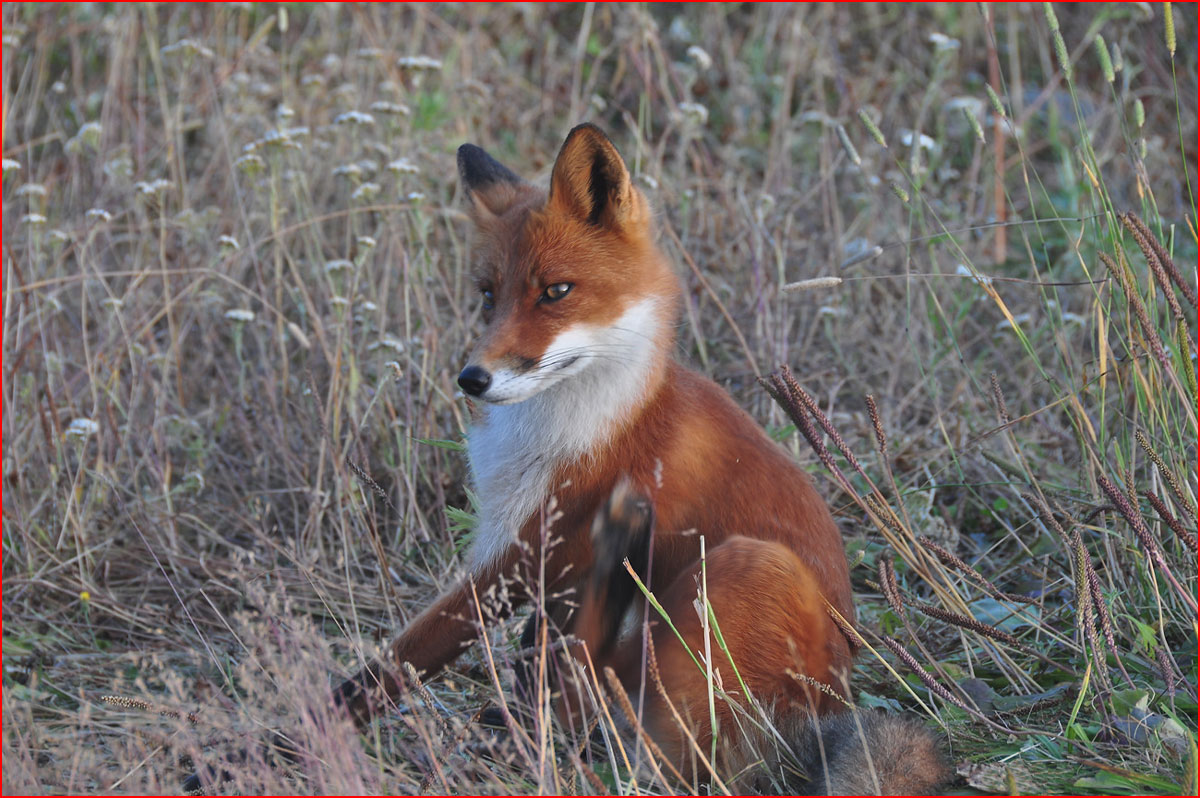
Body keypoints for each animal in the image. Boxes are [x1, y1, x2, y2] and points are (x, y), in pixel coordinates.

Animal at [328, 123, 945, 792]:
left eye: (556, 292)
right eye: (488, 296)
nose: (473, 378)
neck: (588, 418)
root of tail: (834, 702)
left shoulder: (528, 551)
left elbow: (408, 654)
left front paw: (306, 716)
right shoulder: (530, 554)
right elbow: (528, 656)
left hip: (746, 570)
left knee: (602, 704)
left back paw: (622, 544)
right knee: (583, 689)